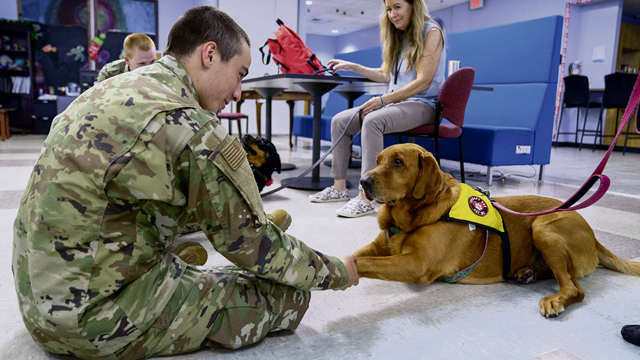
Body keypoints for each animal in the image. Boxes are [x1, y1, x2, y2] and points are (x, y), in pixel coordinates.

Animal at [356, 143, 640, 318]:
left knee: (574, 288)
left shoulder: (418, 264)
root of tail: (594, 235)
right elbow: (358, 254)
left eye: (397, 162)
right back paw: (527, 273)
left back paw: (554, 298)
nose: (362, 181)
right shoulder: (379, 247)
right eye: (378, 160)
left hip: (543, 228)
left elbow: (365, 263)